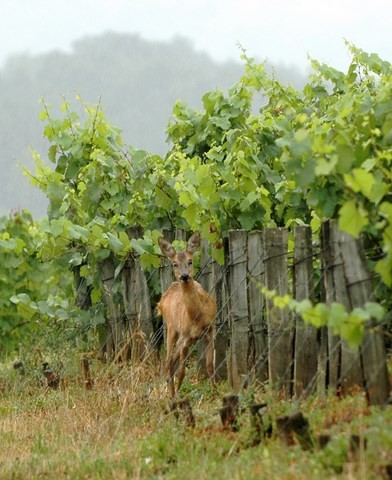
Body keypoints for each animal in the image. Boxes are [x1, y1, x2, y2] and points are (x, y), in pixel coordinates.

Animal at [157, 232, 217, 398]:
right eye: (174, 264)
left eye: (190, 261)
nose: (184, 276)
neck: (198, 317)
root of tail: (162, 301)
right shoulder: (185, 337)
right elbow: (182, 372)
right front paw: (178, 394)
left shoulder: (211, 330)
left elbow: (210, 366)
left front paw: (215, 391)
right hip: (172, 328)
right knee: (168, 360)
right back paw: (172, 394)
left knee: (171, 360)